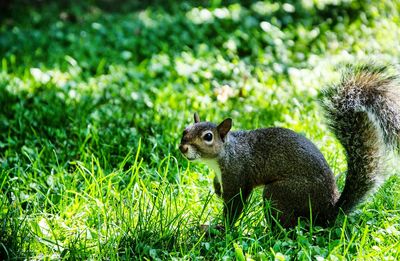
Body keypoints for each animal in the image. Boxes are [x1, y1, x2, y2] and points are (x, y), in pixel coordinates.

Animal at [179, 64, 400, 226]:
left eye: (208, 137)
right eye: (184, 131)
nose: (182, 148)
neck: (224, 155)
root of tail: (327, 211)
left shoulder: (238, 176)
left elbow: (234, 206)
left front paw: (220, 229)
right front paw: (217, 190)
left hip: (281, 194)